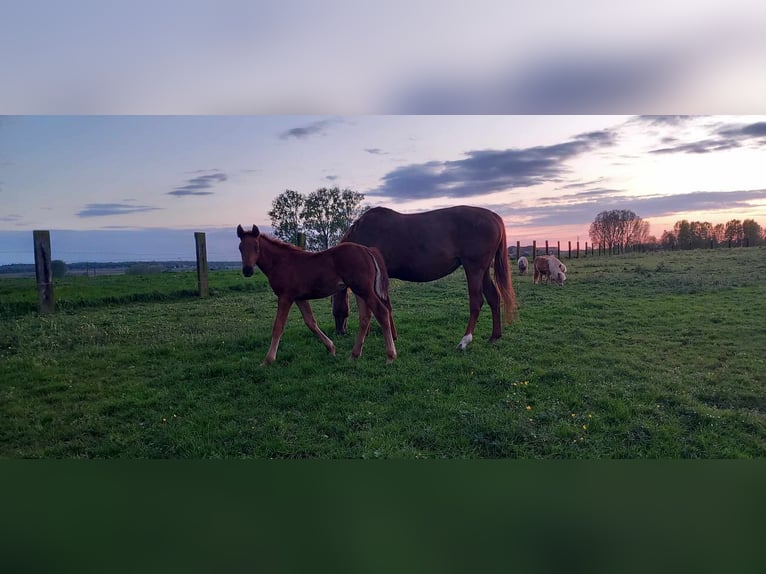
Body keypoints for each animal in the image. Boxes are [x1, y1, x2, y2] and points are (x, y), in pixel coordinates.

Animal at [237, 225, 400, 364]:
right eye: (240, 248)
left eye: (256, 247)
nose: (247, 270)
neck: (281, 262)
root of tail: (367, 250)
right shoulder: (299, 298)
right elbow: (311, 322)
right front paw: (331, 348)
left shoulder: (285, 297)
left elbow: (278, 326)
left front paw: (268, 360)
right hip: (359, 291)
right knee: (365, 317)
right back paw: (354, 355)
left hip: (364, 290)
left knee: (381, 312)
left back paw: (390, 356)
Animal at [332, 207, 520, 352]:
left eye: (335, 308)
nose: (339, 331)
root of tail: (494, 216)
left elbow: (382, 305)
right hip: (483, 270)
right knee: (493, 298)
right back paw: (495, 336)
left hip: (473, 269)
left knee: (476, 302)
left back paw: (464, 341)